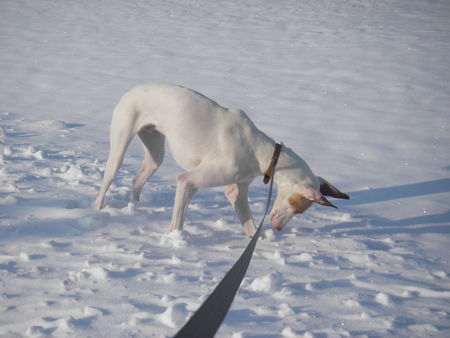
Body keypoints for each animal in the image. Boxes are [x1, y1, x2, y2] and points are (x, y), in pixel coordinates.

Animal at [94, 84, 348, 236]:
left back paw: (136, 207)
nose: (277, 227)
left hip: (155, 153)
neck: (260, 151)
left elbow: (250, 227)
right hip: (119, 148)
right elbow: (178, 221)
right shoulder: (188, 181)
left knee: (137, 180)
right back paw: (98, 209)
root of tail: (131, 91)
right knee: (107, 180)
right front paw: (174, 241)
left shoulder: (237, 191)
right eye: (297, 207)